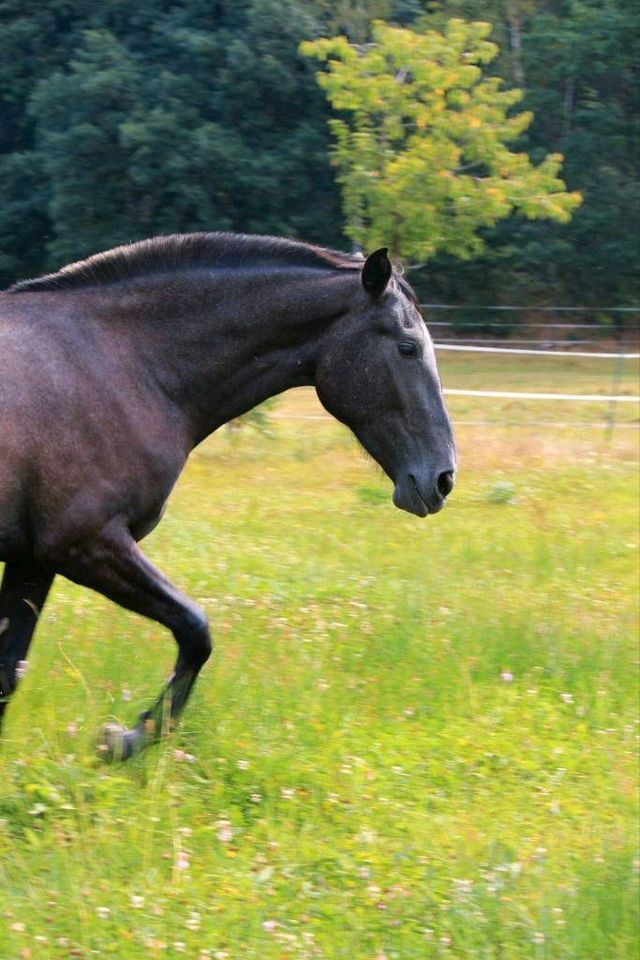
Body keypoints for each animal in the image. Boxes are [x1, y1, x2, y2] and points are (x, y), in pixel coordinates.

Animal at [1, 232, 456, 756]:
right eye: (408, 347)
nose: (443, 477)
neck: (126, 362)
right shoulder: (85, 542)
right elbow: (197, 630)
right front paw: (122, 741)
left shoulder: (34, 559)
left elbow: (7, 674)